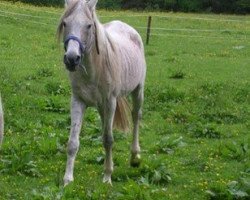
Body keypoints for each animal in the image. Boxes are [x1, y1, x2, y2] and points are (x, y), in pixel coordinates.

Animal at [57, 0, 146, 185]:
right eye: (65, 23)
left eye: (89, 25)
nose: (71, 59)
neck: (93, 71)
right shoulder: (78, 101)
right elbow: (73, 142)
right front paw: (67, 179)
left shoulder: (110, 101)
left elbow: (108, 140)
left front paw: (107, 177)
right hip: (101, 106)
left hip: (137, 90)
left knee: (136, 116)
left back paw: (135, 156)